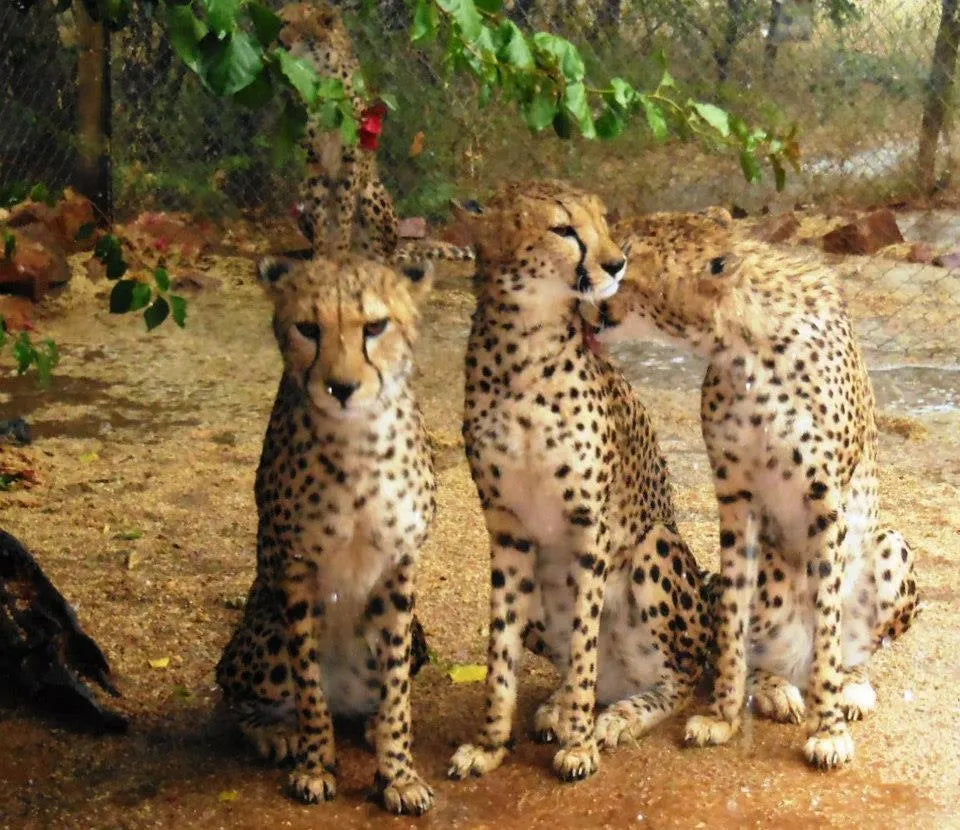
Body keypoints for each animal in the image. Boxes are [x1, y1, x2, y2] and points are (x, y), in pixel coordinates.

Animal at [216, 254, 437, 815]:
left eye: (375, 327)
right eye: (308, 329)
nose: (341, 387)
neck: (358, 440)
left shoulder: (400, 568)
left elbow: (397, 689)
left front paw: (398, 773)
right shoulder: (296, 569)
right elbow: (309, 685)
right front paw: (315, 765)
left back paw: (372, 725)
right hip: (264, 625)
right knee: (231, 687)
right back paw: (277, 732)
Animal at [277, 2, 473, 266]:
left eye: (286, 22)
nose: (276, 40)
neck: (323, 75)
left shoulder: (351, 163)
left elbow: (344, 216)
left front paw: (339, 256)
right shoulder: (314, 161)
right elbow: (321, 220)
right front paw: (321, 257)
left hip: (372, 192)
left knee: (378, 254)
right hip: (303, 189)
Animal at [446, 180, 717, 785]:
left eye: (604, 222)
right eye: (563, 229)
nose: (616, 263)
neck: (523, 350)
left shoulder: (589, 525)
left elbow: (585, 638)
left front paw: (579, 745)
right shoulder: (507, 531)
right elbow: (502, 652)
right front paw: (489, 744)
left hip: (655, 544)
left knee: (681, 674)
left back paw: (617, 715)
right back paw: (563, 706)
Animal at [587, 206, 920, 770]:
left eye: (626, 260)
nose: (589, 291)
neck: (747, 346)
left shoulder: (825, 500)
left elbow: (828, 628)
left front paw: (828, 731)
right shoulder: (735, 497)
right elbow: (734, 623)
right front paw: (723, 717)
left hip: (888, 544)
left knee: (848, 650)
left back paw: (848, 686)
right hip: (769, 565)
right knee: (770, 654)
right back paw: (773, 687)